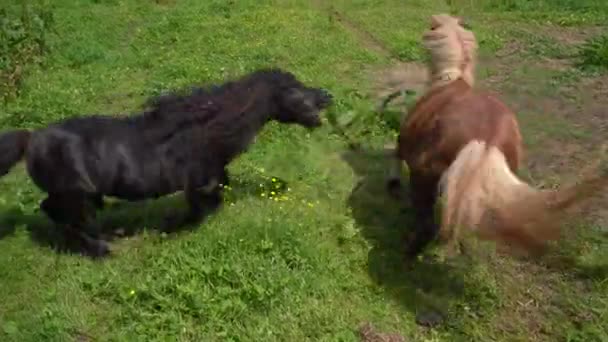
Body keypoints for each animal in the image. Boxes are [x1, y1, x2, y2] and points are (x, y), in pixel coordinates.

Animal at [0, 68, 332, 256]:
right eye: (293, 88)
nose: (327, 96)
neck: (209, 130)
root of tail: (32, 139)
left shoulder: (212, 178)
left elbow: (214, 200)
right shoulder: (199, 182)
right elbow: (200, 208)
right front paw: (170, 231)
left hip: (78, 194)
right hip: (74, 193)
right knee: (62, 216)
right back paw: (102, 249)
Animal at [388, 13, 608, 260]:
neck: (450, 79)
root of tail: (487, 139)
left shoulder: (405, 141)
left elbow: (394, 154)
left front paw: (392, 183)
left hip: (425, 175)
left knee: (424, 225)